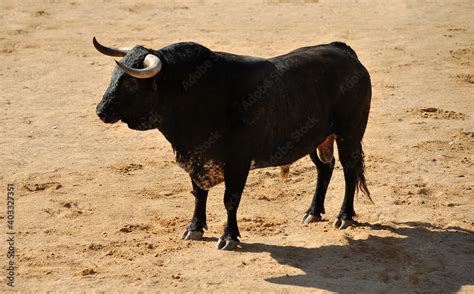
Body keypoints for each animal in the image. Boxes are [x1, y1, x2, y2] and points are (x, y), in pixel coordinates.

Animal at [94, 39, 372, 250]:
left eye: (131, 82)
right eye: (113, 76)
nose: (101, 111)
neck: (191, 94)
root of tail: (343, 51)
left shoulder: (238, 162)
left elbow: (230, 199)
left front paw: (229, 237)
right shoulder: (197, 156)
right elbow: (199, 193)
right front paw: (194, 228)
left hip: (349, 134)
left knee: (349, 170)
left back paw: (344, 216)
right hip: (318, 138)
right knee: (325, 168)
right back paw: (313, 212)